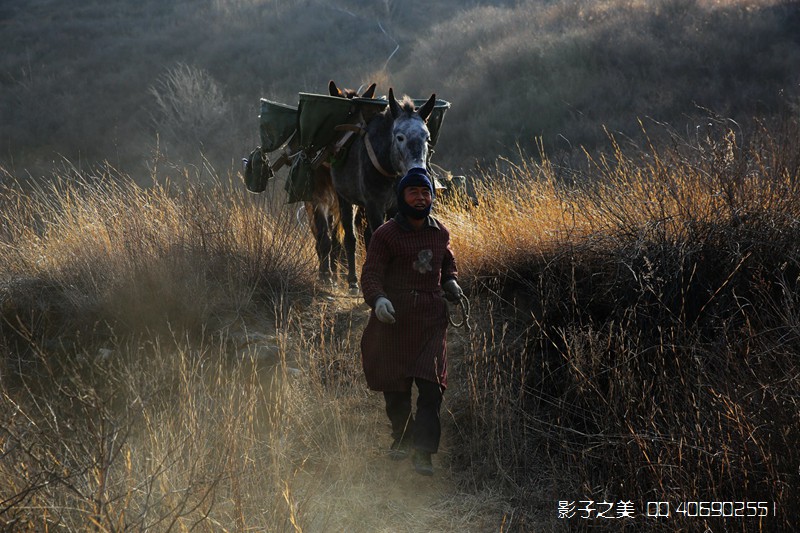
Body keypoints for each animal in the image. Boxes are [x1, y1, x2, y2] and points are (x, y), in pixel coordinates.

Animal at [304, 80, 376, 282]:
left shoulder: (344, 204)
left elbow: (339, 239)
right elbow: (323, 238)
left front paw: (338, 274)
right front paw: (325, 275)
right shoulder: (317, 202)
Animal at [330, 88, 438, 288]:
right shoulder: (374, 205)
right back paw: (352, 281)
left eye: (427, 138)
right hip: (345, 199)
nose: (418, 173)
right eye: (400, 137)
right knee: (350, 237)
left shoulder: (394, 207)